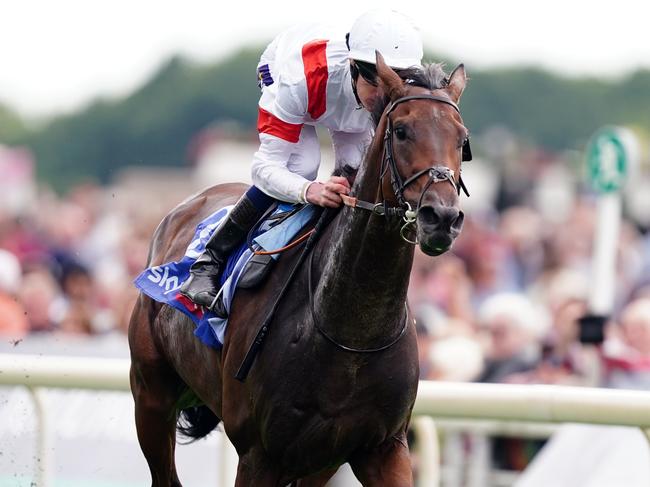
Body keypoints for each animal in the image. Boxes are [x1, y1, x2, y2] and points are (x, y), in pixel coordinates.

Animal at [129, 51, 468, 486]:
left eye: (461, 139)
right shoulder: (258, 454)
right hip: (151, 396)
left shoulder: (378, 447)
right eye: (402, 130)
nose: (441, 218)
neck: (350, 334)